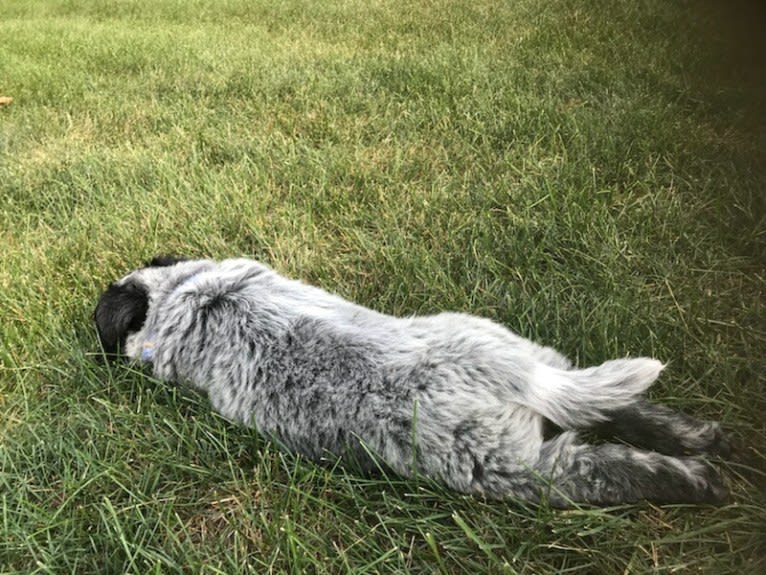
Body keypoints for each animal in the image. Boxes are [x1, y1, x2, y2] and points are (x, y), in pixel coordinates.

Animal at [96, 258, 732, 508]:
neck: (191, 295)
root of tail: (508, 371)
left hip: (519, 468)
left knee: (611, 468)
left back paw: (700, 480)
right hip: (549, 369)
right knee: (618, 410)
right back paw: (703, 438)